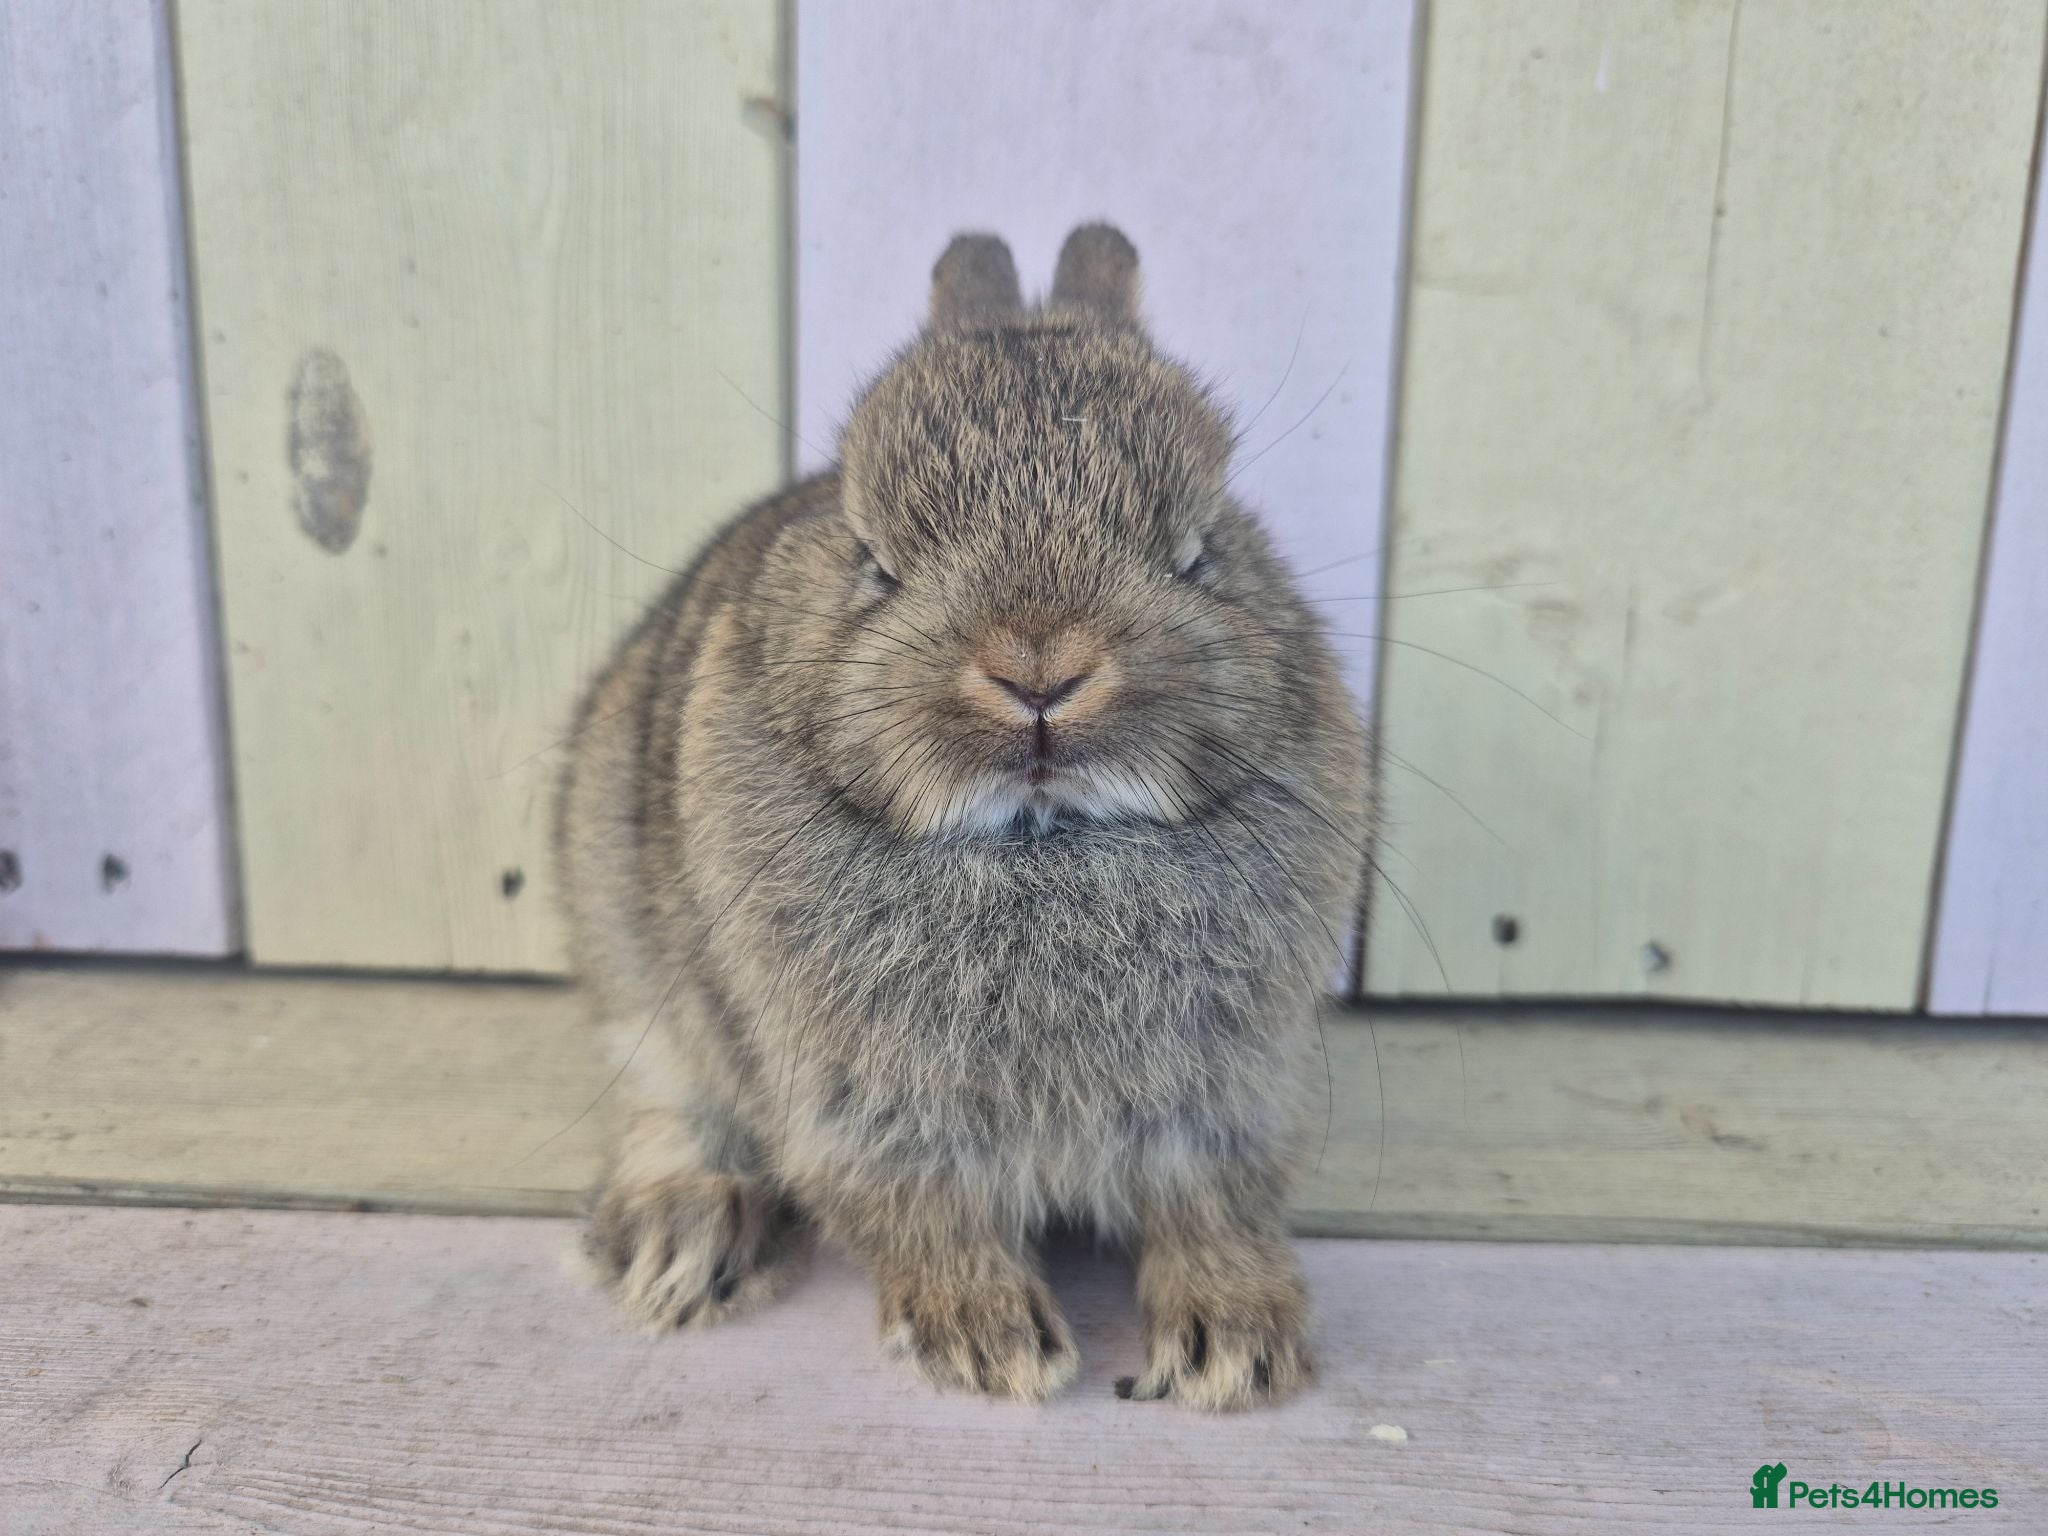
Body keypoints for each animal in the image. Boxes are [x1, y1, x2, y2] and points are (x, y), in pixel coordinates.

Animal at [555, 223, 1370, 1411]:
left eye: (1198, 547)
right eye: (873, 559)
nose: (1038, 668)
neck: (1041, 845)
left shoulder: (1222, 1098)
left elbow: (1211, 1209)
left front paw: (1236, 1346)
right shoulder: (870, 1113)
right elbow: (928, 1220)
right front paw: (990, 1342)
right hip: (632, 947)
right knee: (665, 1099)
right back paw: (686, 1241)